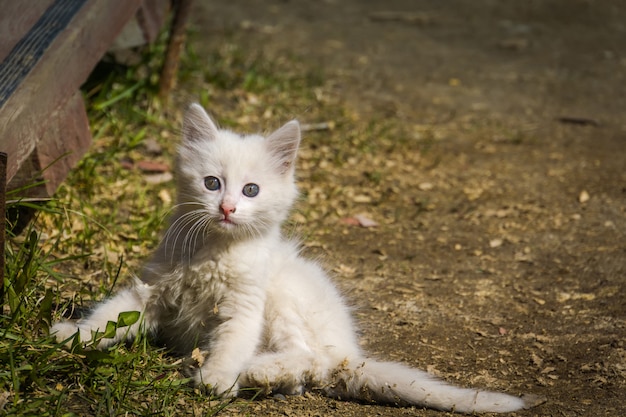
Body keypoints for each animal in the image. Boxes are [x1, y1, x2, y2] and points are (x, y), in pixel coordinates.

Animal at [51, 105, 532, 412]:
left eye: (251, 190)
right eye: (211, 183)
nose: (227, 208)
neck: (214, 252)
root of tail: (350, 352)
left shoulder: (245, 304)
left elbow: (232, 341)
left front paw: (217, 378)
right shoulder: (151, 288)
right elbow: (111, 316)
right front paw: (72, 336)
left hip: (285, 296)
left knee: (310, 361)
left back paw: (255, 373)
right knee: (307, 374)